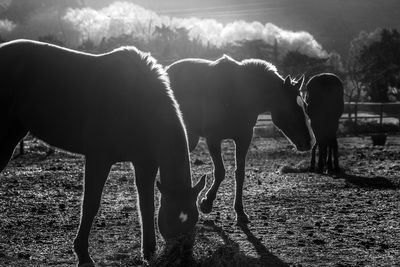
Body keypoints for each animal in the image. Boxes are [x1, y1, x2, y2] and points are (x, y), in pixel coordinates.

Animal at [0, 38, 206, 266]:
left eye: (192, 217)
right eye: (172, 218)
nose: (181, 256)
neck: (136, 100)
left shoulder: (145, 163)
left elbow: (146, 204)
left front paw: (149, 251)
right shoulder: (99, 158)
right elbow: (91, 204)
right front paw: (83, 254)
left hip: (12, 133)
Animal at [166, 55, 316, 225]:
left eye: (305, 105)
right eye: (291, 108)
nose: (310, 142)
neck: (238, 94)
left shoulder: (244, 138)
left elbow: (240, 174)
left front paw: (240, 212)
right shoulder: (213, 138)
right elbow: (220, 172)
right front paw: (206, 203)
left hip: (191, 137)